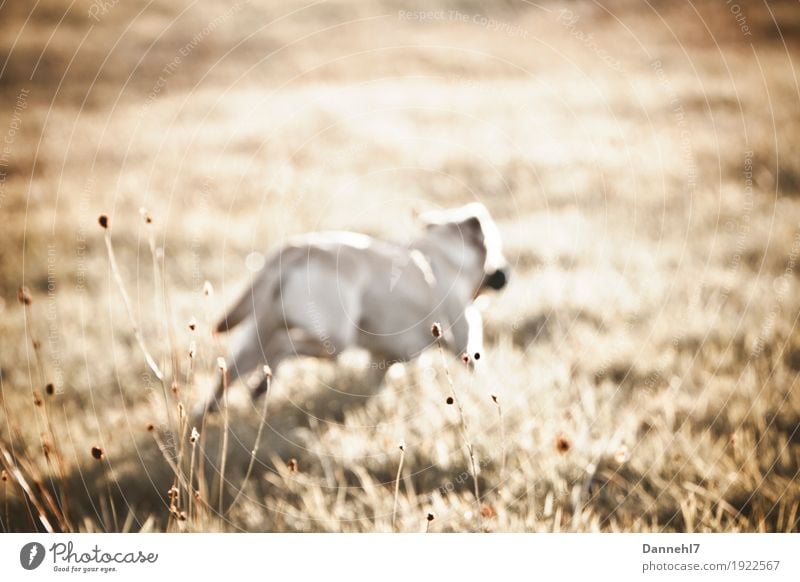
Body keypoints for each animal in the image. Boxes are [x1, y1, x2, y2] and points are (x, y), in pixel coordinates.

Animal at [200, 203, 512, 418]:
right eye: (497, 246)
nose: (505, 273)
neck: (442, 252)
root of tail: (293, 250)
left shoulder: (384, 358)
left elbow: (377, 384)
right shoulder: (465, 344)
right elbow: (478, 370)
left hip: (258, 333)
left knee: (232, 370)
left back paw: (208, 412)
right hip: (334, 339)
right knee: (280, 349)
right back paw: (259, 387)